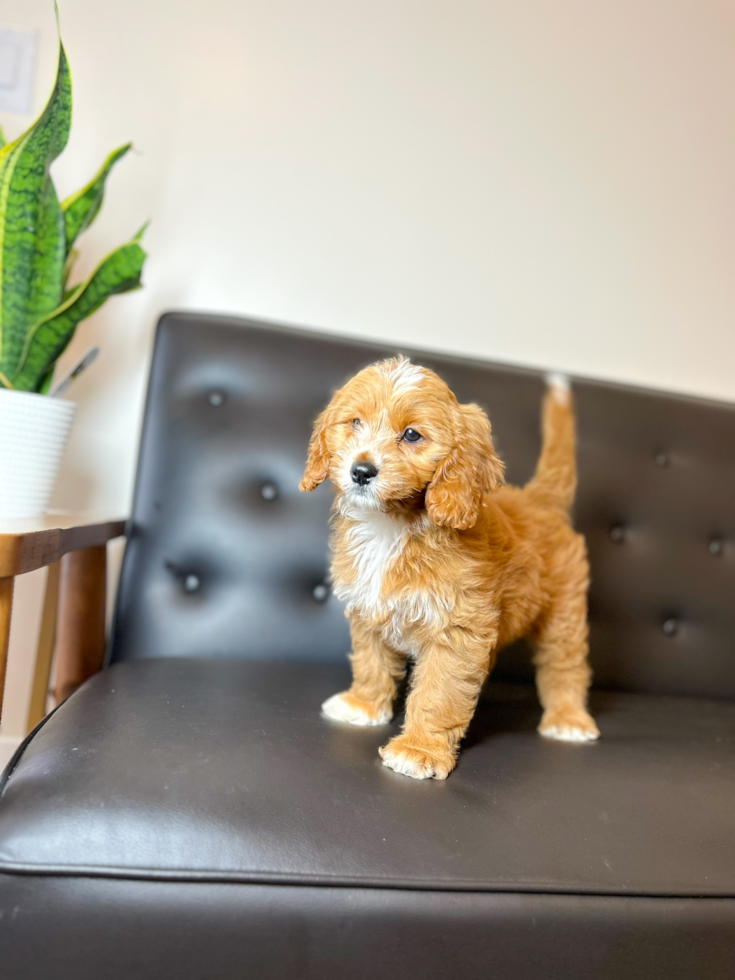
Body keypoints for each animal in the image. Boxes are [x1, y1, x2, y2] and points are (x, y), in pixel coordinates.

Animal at [300, 358, 600, 780]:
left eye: (411, 434)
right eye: (355, 422)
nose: (361, 470)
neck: (393, 525)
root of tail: (539, 501)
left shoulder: (455, 630)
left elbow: (438, 692)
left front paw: (417, 750)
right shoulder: (367, 610)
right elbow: (371, 661)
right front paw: (363, 705)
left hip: (565, 612)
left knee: (566, 664)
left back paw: (568, 719)